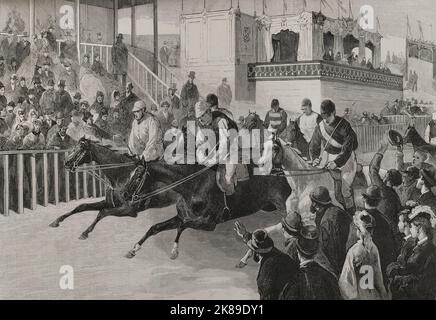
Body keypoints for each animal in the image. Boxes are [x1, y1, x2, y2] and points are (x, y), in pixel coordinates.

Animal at [49, 138, 181, 240]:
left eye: (81, 149)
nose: (66, 163)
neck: (123, 175)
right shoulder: (108, 202)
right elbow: (82, 206)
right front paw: (57, 220)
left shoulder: (129, 210)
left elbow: (102, 212)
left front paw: (85, 232)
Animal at [123, 160, 292, 260]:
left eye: (138, 176)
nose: (125, 195)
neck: (194, 185)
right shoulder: (181, 216)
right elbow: (155, 227)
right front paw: (133, 249)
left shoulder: (208, 224)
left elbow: (181, 227)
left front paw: (174, 250)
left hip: (284, 206)